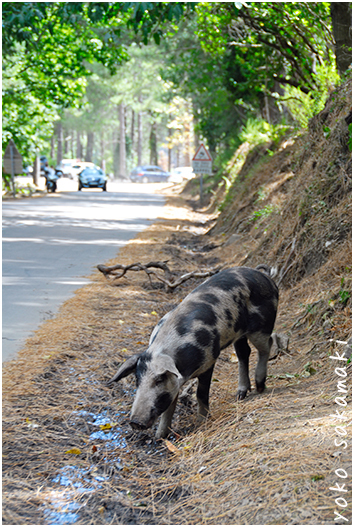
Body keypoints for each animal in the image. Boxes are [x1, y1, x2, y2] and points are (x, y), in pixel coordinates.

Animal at [106, 264, 278, 442]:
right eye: (137, 379)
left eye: (159, 380)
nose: (135, 422)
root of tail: (264, 276)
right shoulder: (175, 380)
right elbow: (170, 405)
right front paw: (159, 437)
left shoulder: (209, 360)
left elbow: (200, 393)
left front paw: (201, 424)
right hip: (239, 333)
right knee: (244, 353)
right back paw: (240, 395)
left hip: (262, 325)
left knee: (266, 346)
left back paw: (260, 387)